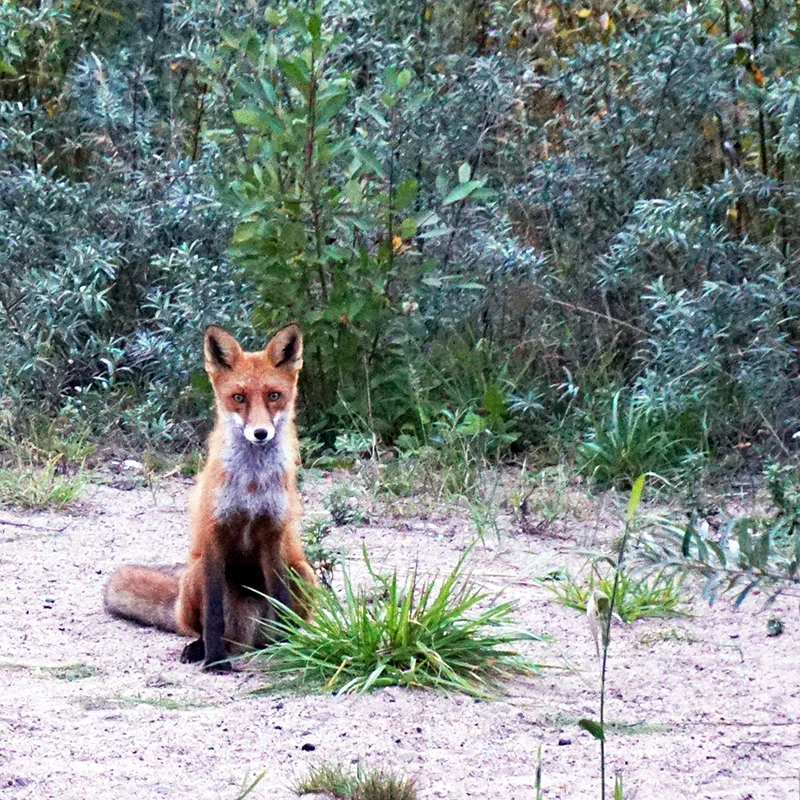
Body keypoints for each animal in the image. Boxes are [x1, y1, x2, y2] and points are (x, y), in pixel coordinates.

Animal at [104, 322, 318, 672]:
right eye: (238, 398)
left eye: (274, 396)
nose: (260, 433)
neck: (251, 486)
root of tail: (248, 640)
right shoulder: (214, 534)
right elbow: (214, 614)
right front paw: (215, 661)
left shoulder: (273, 534)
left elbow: (281, 600)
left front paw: (289, 650)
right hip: (194, 574)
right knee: (202, 628)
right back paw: (201, 648)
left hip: (303, 572)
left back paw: (280, 643)